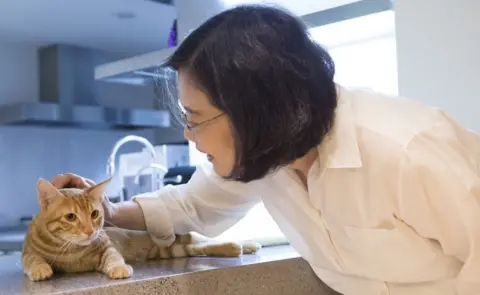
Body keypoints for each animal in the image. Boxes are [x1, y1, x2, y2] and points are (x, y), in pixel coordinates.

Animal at [21, 178, 262, 282]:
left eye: (95, 214)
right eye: (71, 217)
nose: (90, 231)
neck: (71, 250)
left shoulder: (106, 246)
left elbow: (113, 257)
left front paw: (119, 268)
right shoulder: (27, 253)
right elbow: (33, 259)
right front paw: (40, 269)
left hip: (179, 240)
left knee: (203, 240)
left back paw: (247, 244)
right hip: (172, 250)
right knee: (198, 247)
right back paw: (236, 248)